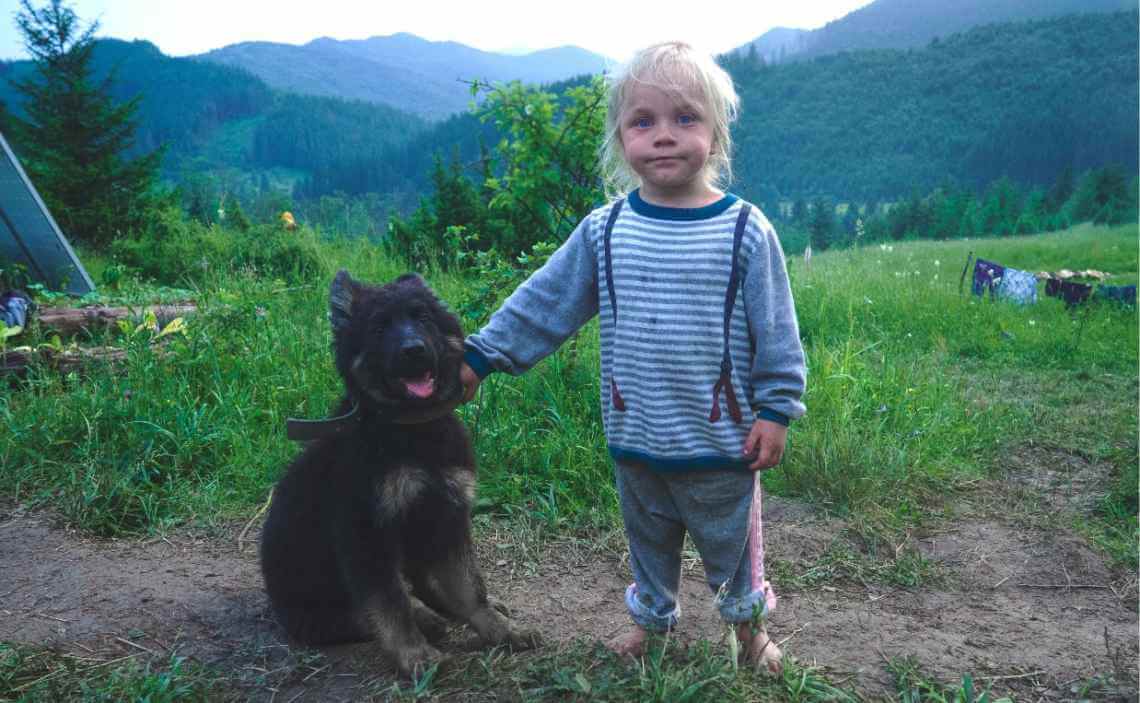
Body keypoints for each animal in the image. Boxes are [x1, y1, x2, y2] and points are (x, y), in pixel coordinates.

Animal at [262, 268, 538, 674]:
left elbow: (469, 586)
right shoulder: (367, 533)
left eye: (421, 318)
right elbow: (389, 603)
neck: (412, 430)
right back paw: (427, 619)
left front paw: (499, 628)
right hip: (312, 602)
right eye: (379, 328)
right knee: (356, 615)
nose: (413, 350)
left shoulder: (449, 514)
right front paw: (414, 654)